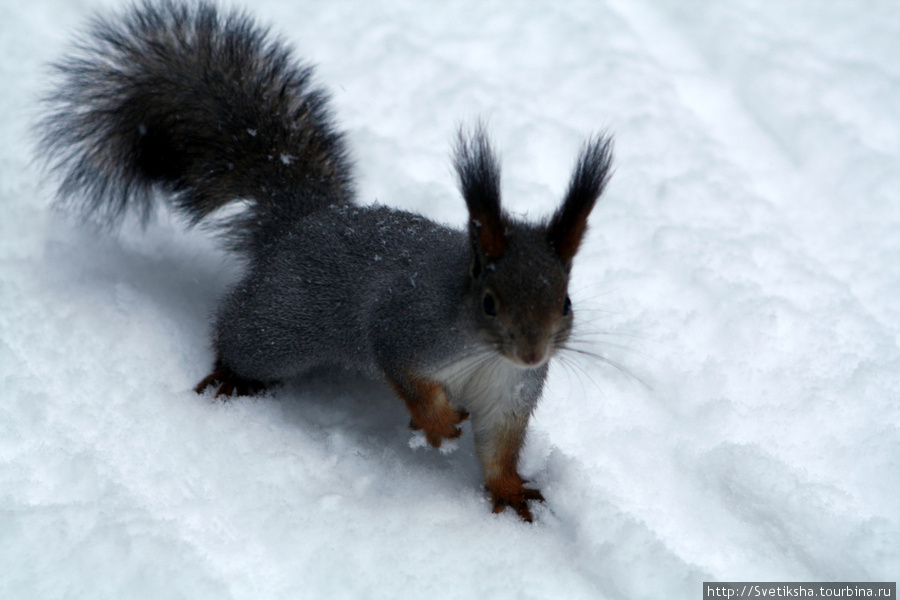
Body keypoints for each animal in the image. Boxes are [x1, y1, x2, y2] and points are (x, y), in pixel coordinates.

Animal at [35, 0, 612, 524]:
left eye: (565, 301)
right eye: (489, 303)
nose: (533, 353)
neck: (486, 355)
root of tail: (302, 221)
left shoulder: (509, 394)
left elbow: (499, 447)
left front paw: (509, 491)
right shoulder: (407, 327)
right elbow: (408, 377)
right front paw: (436, 424)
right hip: (279, 327)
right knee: (237, 331)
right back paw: (230, 376)